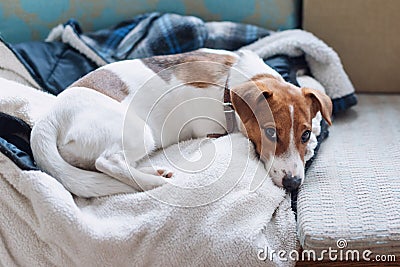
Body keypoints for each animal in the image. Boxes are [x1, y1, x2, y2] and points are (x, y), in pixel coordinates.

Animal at [30, 49, 332, 198]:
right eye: (270, 132)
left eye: (304, 135)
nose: (293, 183)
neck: (230, 87)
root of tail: (48, 118)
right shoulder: (210, 130)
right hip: (139, 132)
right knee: (108, 162)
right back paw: (153, 181)